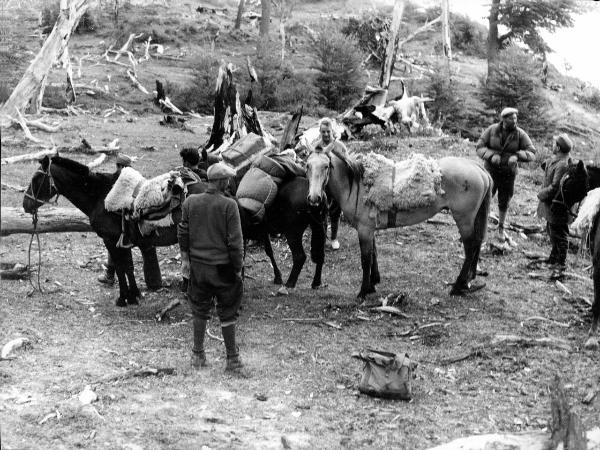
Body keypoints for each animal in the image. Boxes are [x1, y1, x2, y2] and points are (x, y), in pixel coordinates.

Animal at [310, 148, 492, 298]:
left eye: (326, 166)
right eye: (307, 165)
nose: (314, 198)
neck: (356, 185)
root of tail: (477, 167)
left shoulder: (364, 229)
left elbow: (366, 259)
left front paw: (363, 291)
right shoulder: (369, 229)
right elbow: (374, 254)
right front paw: (373, 283)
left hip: (464, 219)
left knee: (471, 247)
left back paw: (458, 285)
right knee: (477, 243)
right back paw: (467, 281)